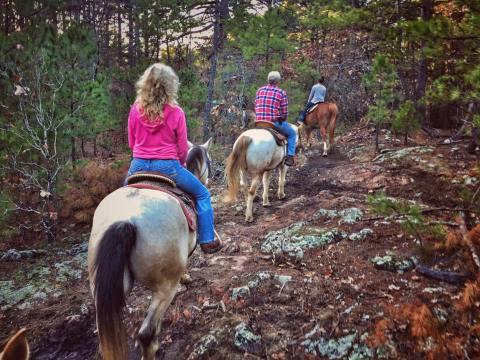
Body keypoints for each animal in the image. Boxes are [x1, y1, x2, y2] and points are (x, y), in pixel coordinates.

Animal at [88, 139, 212, 360]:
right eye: (210, 160)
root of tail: (126, 219)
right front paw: (186, 277)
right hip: (164, 289)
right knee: (147, 333)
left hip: (102, 288)